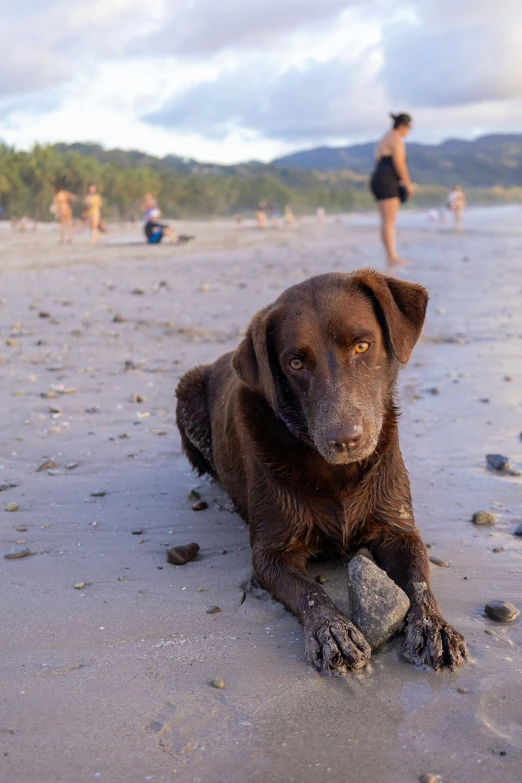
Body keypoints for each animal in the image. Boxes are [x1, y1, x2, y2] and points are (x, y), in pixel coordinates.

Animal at [176, 270, 468, 672]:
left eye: (362, 346)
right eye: (296, 363)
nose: (345, 439)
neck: (336, 472)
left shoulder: (399, 530)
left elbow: (420, 580)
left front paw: (433, 626)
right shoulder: (271, 553)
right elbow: (310, 591)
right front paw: (332, 630)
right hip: (186, 390)